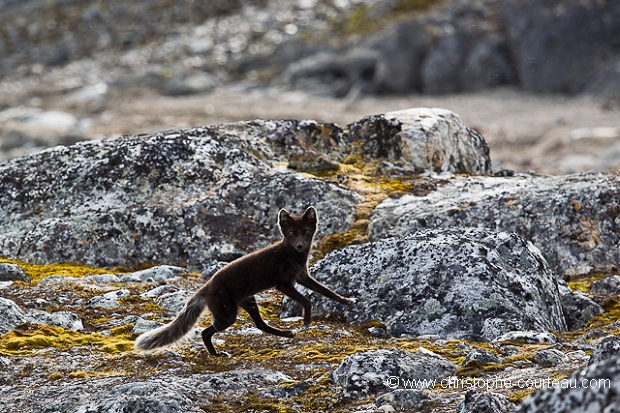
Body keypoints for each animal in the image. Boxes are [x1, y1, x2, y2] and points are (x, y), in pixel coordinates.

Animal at [133, 206, 356, 354]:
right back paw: (216, 354)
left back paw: (287, 334)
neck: (293, 257)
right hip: (227, 314)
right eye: (292, 233)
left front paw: (347, 301)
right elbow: (307, 301)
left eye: (307, 232)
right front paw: (307, 321)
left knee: (260, 325)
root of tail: (206, 287)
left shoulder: (302, 276)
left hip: (249, 302)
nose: (300, 245)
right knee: (206, 332)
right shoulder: (284, 284)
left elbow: (327, 291)